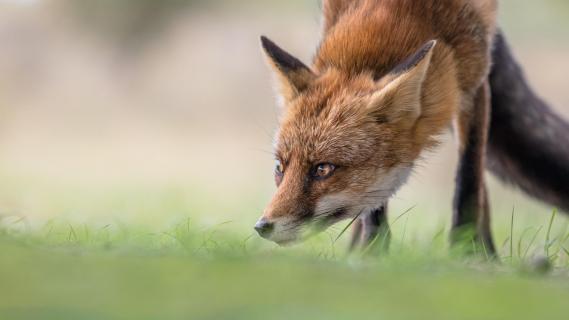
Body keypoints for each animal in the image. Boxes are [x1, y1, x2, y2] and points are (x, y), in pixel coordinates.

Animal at [254, 0, 568, 255]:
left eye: (323, 169)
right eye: (279, 168)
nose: (262, 226)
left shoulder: (473, 87)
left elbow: (467, 180)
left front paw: (465, 250)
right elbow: (373, 205)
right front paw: (372, 253)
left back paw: (486, 252)